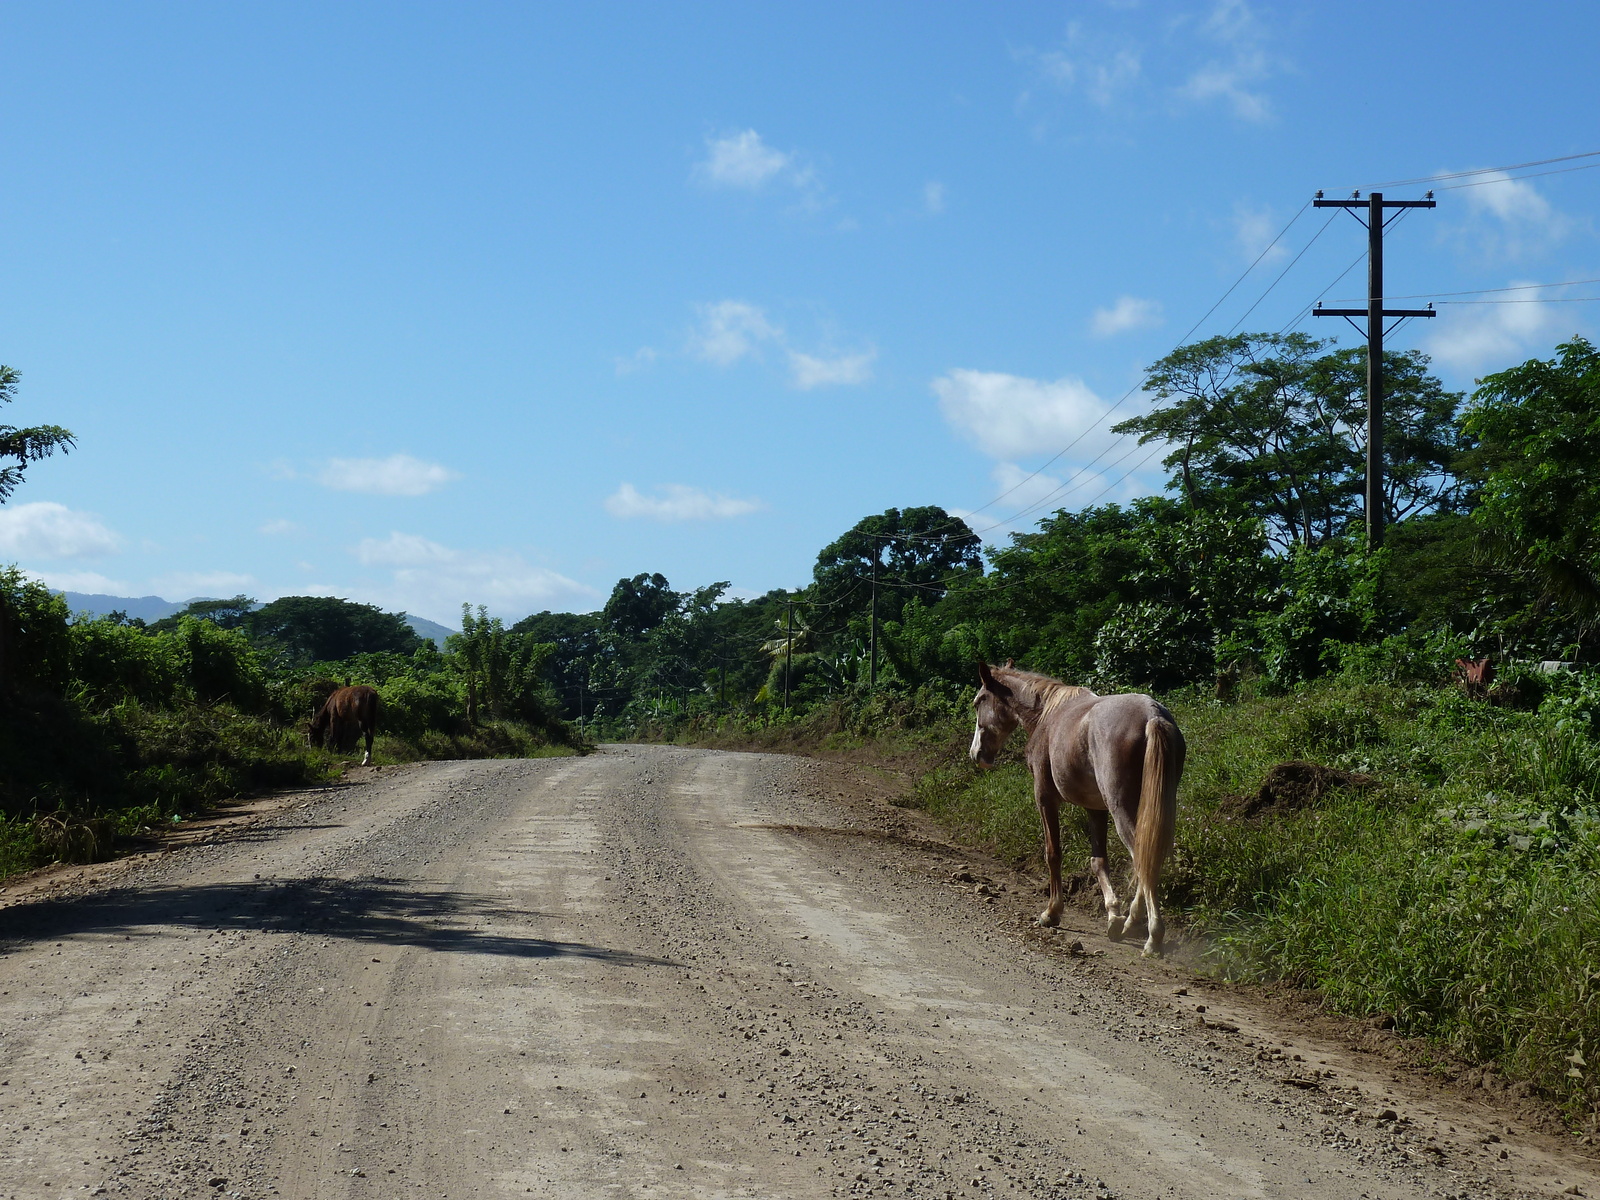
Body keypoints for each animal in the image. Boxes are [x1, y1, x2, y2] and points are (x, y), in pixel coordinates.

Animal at [966, 668, 1184, 960]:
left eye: (979, 701)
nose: (977, 754)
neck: (1047, 715)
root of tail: (1153, 715)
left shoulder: (1045, 799)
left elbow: (1053, 854)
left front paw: (1052, 912)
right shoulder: (1096, 809)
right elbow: (1098, 861)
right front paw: (1113, 916)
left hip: (1123, 810)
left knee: (1143, 859)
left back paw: (1151, 936)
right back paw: (1131, 924)